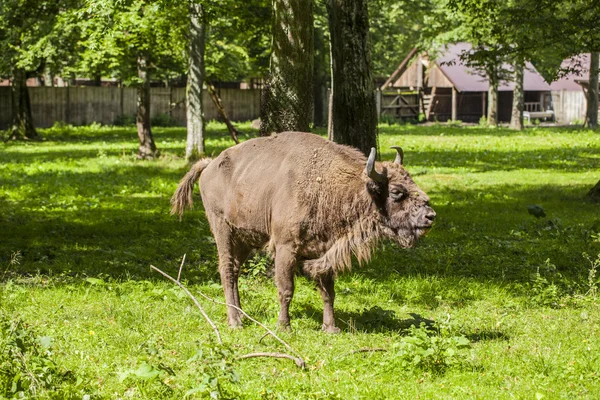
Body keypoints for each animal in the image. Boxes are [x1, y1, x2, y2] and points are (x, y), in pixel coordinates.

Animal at [171, 131, 434, 332]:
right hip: (223, 230)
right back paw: (235, 322)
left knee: (235, 271)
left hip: (245, 239)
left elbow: (328, 292)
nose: (430, 216)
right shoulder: (285, 248)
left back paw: (241, 315)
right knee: (226, 271)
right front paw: (284, 326)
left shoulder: (324, 252)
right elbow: (286, 289)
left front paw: (331, 328)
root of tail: (209, 165)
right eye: (397, 192)